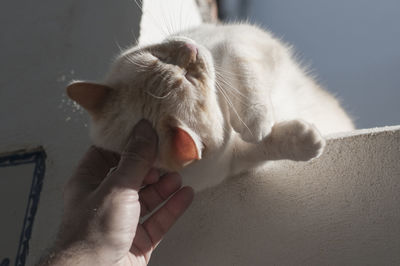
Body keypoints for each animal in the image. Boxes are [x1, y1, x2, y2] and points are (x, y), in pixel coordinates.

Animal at [67, 22, 354, 189]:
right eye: (190, 79)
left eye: (159, 57)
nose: (190, 49)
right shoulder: (233, 161)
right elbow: (266, 145)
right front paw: (307, 141)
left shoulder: (238, 41)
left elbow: (247, 79)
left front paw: (255, 122)